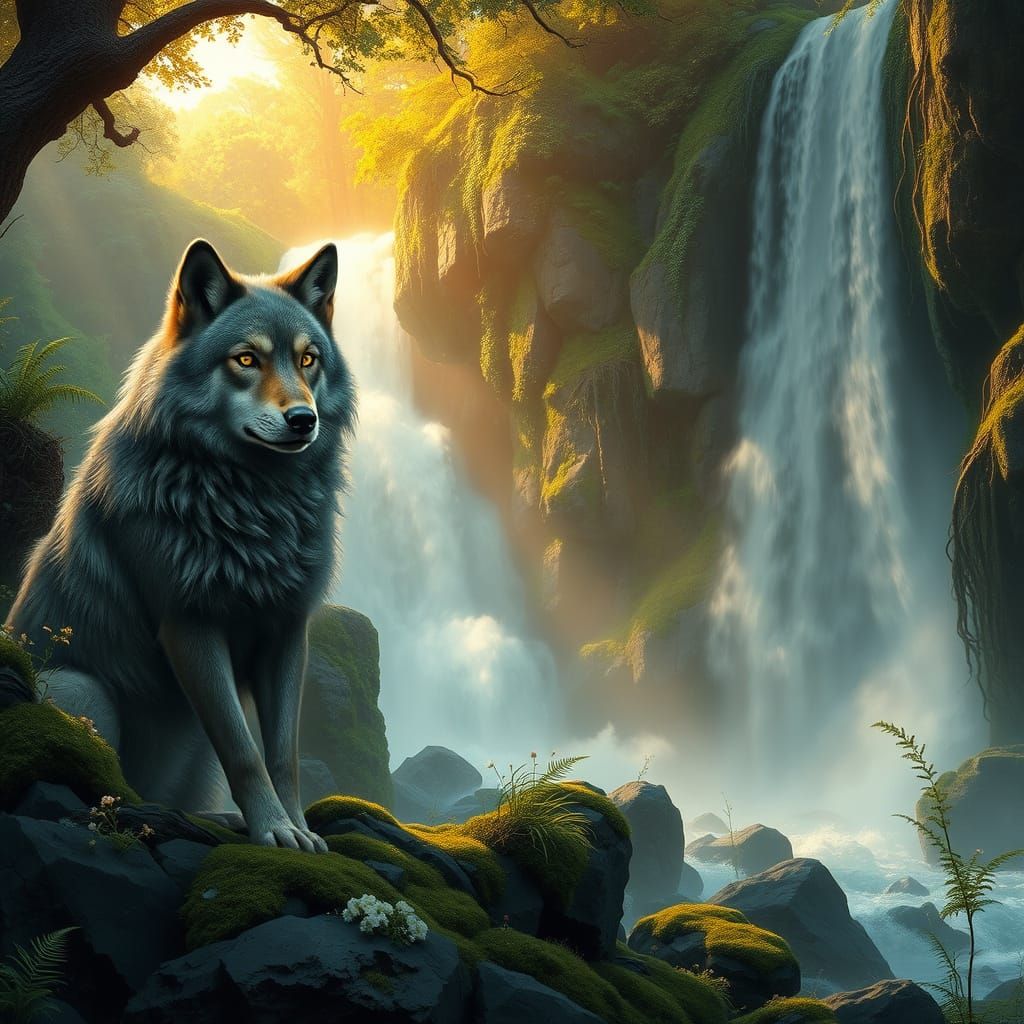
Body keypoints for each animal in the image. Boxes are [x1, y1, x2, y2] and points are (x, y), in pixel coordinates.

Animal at [7, 239, 355, 852]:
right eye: (247, 360)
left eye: (308, 359)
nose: (303, 419)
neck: (254, 504)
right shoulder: (190, 624)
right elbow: (244, 750)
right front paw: (274, 831)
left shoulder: (288, 631)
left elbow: (281, 755)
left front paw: (299, 830)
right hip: (80, 690)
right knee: (110, 782)